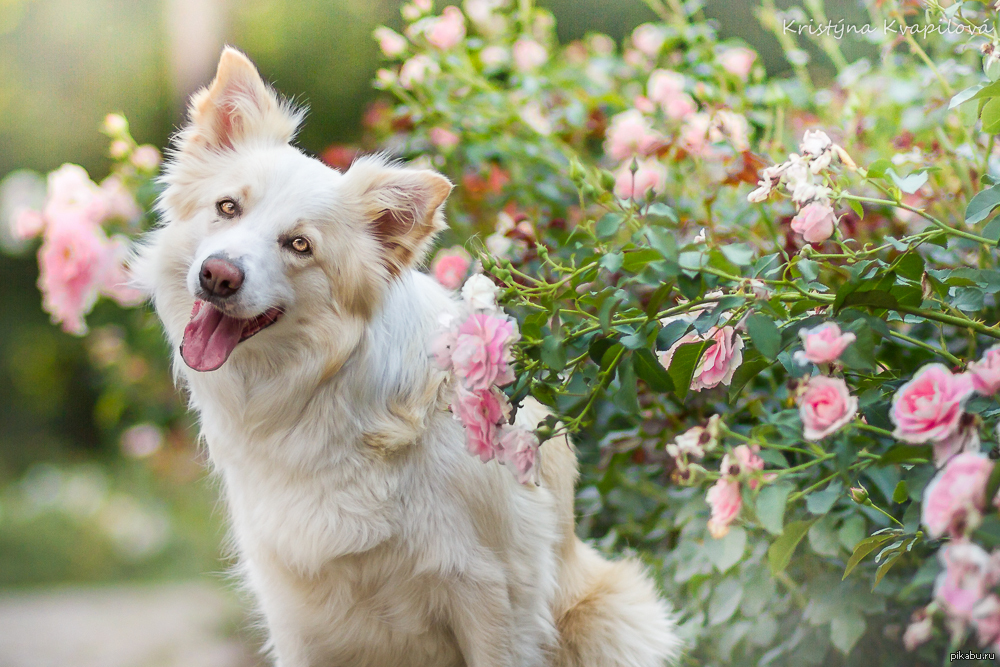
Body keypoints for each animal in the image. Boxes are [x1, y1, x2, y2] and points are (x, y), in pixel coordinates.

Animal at [135, 48, 680, 667]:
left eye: (299, 245)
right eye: (227, 207)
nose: (218, 275)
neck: (319, 393)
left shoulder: (493, 596)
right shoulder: (295, 610)